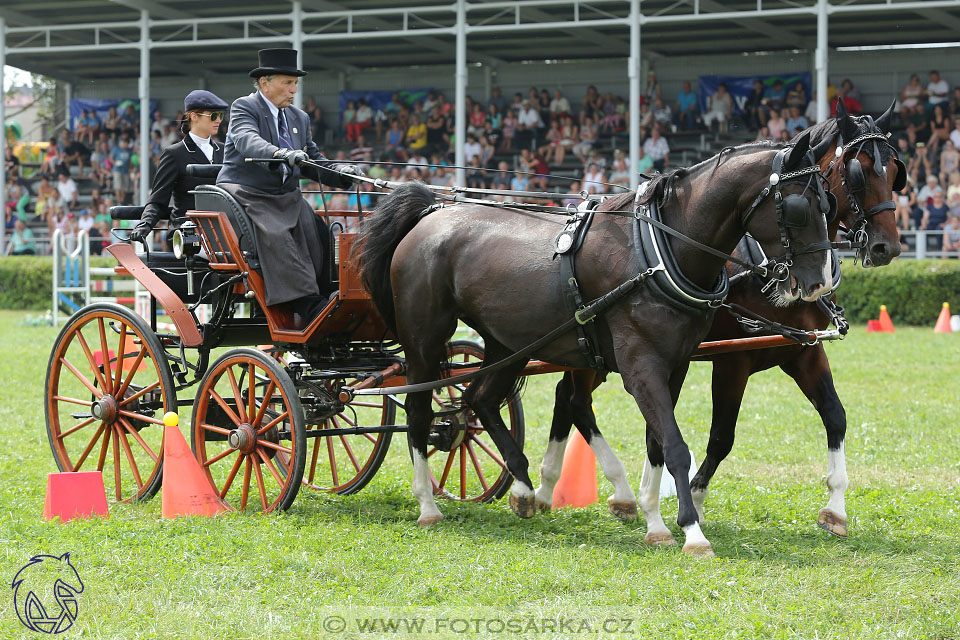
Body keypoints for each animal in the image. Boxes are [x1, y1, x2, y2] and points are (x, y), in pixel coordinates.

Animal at [356, 134, 836, 556]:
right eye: (799, 208)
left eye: (829, 202)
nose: (821, 282)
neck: (658, 250)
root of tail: (431, 211)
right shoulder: (643, 366)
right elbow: (675, 446)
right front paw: (692, 532)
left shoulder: (676, 364)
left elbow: (657, 443)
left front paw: (656, 523)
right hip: (424, 341)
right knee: (419, 412)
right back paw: (428, 504)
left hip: (506, 344)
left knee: (480, 398)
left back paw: (525, 488)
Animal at [536, 101, 904, 544]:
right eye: (859, 171)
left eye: (895, 171)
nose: (887, 247)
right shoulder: (732, 362)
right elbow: (720, 436)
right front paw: (690, 499)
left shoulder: (802, 350)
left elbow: (835, 415)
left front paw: (835, 508)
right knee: (574, 400)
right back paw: (598, 488)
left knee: (565, 397)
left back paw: (547, 489)